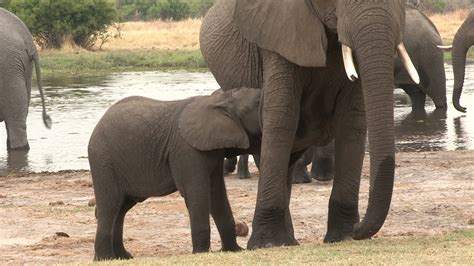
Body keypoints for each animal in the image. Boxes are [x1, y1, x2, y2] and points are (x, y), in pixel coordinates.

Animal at [88, 87, 260, 260]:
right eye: (258, 104)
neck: (222, 100)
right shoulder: (187, 149)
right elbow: (196, 193)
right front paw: (201, 253)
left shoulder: (212, 150)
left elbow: (216, 192)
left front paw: (235, 250)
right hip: (103, 160)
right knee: (110, 205)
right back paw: (105, 258)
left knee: (122, 207)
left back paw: (123, 257)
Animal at [200, 0, 418, 247]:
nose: (358, 228)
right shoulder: (278, 37)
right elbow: (282, 115)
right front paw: (267, 244)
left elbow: (352, 120)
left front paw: (343, 237)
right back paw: (284, 241)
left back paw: (290, 240)